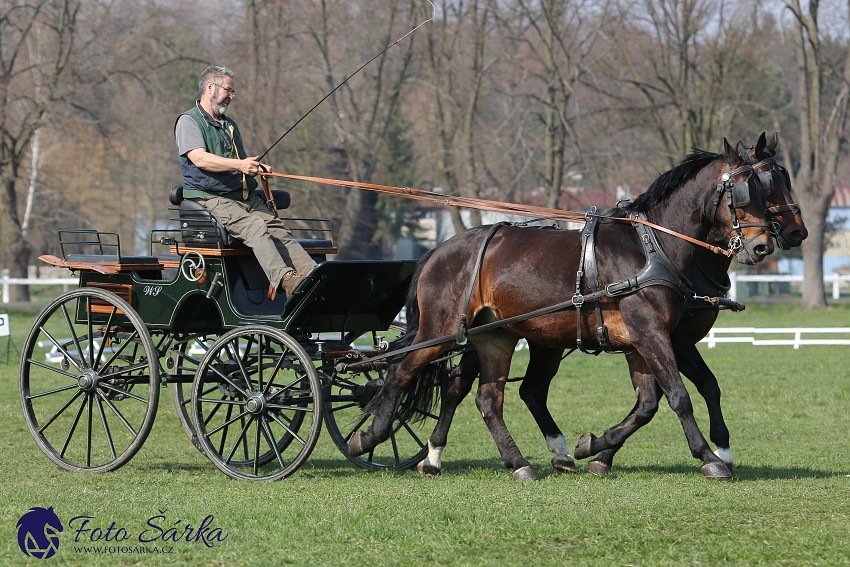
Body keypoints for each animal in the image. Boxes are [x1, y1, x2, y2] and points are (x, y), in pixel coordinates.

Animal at [348, 138, 772, 480]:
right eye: (743, 192)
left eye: (768, 189)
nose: (763, 245)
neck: (653, 247)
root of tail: (439, 251)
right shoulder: (651, 333)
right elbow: (677, 395)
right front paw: (709, 457)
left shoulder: (649, 340)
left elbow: (654, 401)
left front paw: (595, 448)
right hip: (440, 330)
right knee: (401, 372)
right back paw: (369, 437)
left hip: (495, 336)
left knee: (486, 397)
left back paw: (510, 462)